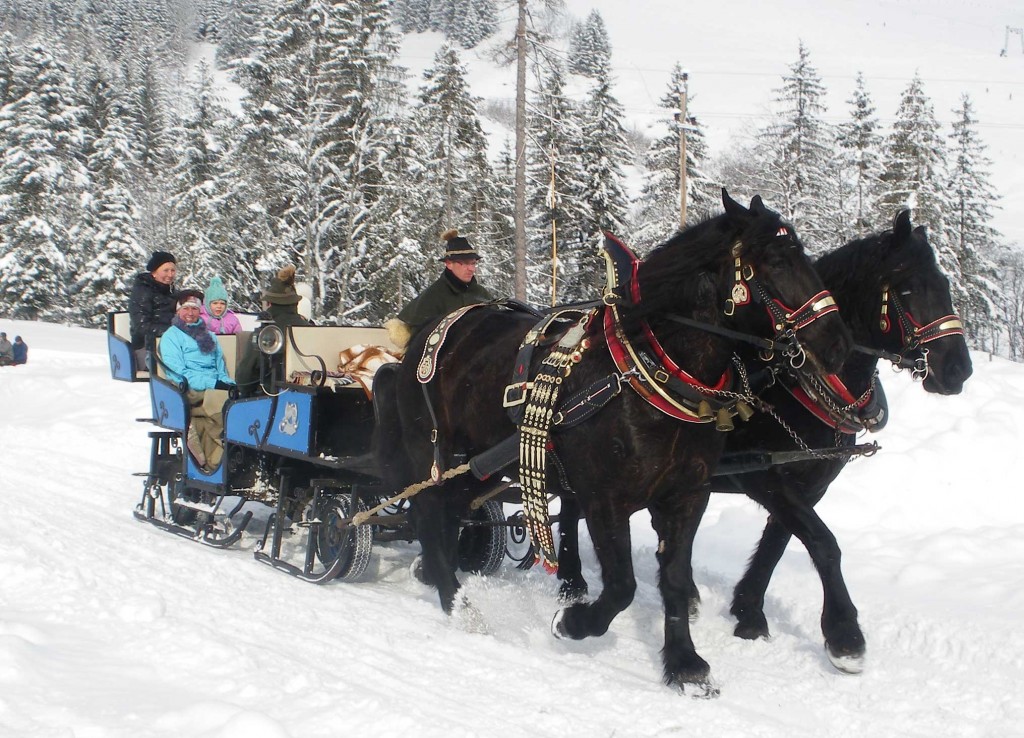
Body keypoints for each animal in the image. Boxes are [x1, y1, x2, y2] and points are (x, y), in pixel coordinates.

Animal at [372, 191, 851, 691]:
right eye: (776, 261)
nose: (838, 344)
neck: (646, 372)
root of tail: (417, 344)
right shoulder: (604, 497)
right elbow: (622, 586)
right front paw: (573, 622)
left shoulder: (687, 495)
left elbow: (674, 578)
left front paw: (684, 663)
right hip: (434, 455)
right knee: (429, 515)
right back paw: (458, 604)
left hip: (475, 467)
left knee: (448, 517)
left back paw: (437, 576)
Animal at [557, 206, 970, 675]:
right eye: (908, 287)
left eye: (946, 285)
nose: (958, 369)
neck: (793, 381)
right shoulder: (762, 474)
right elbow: (823, 542)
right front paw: (845, 635)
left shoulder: (809, 483)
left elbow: (780, 543)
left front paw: (749, 610)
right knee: (570, 505)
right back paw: (571, 579)